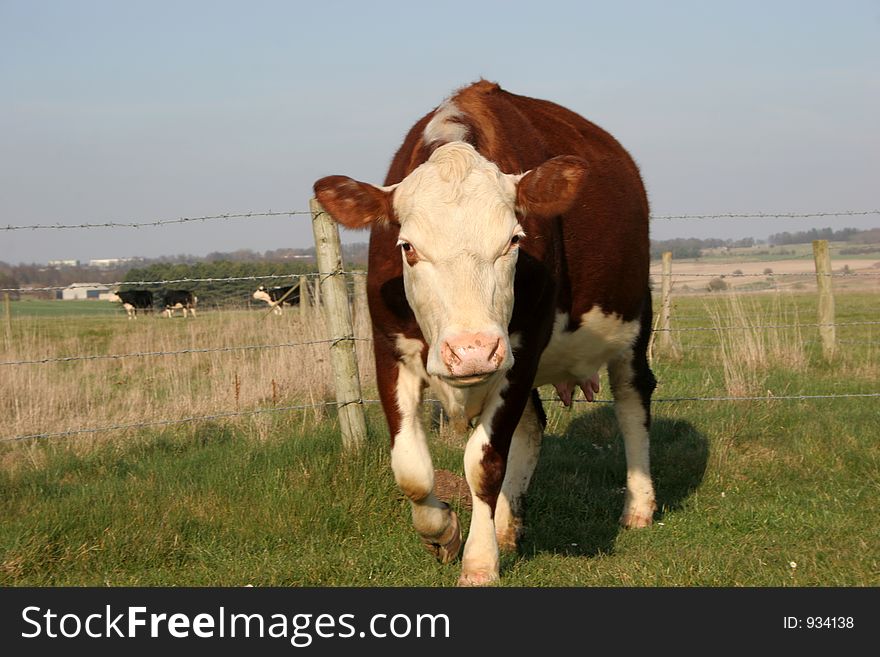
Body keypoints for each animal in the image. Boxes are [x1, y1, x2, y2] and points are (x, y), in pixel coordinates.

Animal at [312, 79, 656, 588]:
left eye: (513, 240)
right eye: (407, 247)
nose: (472, 351)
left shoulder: (521, 351)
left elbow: (484, 464)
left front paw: (479, 562)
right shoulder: (387, 351)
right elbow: (411, 468)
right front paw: (444, 533)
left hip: (632, 323)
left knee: (633, 406)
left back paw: (638, 506)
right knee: (533, 426)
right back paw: (506, 526)